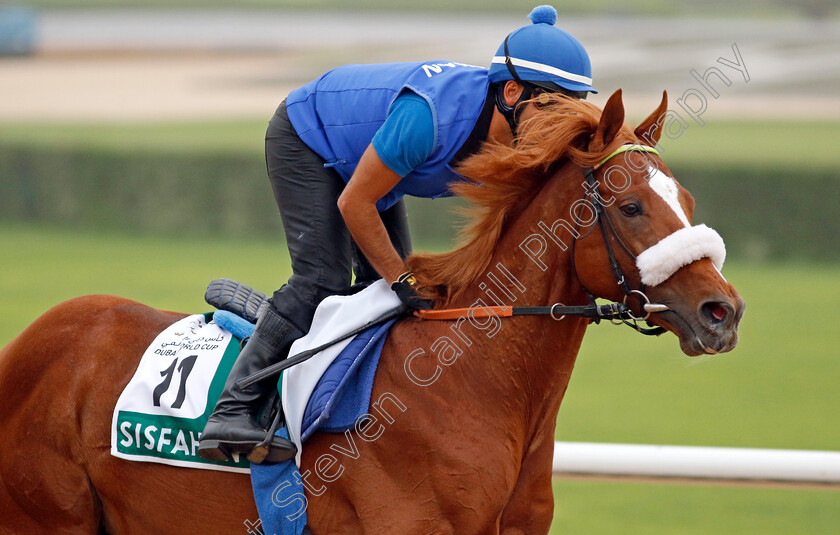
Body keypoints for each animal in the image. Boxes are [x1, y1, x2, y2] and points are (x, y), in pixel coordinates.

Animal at [0, 90, 740, 532]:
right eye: (631, 206)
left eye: (689, 201)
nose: (723, 311)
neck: (471, 384)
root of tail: (29, 346)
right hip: (47, 516)